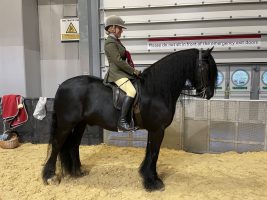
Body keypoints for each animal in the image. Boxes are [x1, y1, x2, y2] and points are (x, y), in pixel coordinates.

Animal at [42, 47, 218, 191]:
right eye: (205, 68)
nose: (209, 94)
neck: (156, 90)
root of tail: (62, 85)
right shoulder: (157, 129)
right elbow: (154, 153)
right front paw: (153, 182)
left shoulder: (154, 130)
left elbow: (150, 152)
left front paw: (149, 177)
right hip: (66, 124)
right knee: (57, 144)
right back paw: (50, 177)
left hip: (80, 124)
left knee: (73, 145)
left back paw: (77, 172)